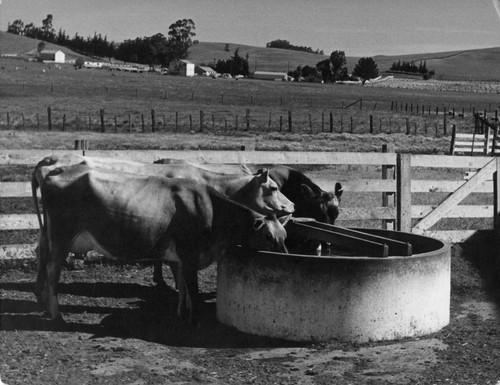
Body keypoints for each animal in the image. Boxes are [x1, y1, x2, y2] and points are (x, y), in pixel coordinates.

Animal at [35, 164, 290, 326]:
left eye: (284, 235)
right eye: (268, 237)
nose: (284, 255)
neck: (211, 207)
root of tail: (53, 171)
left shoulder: (180, 258)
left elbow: (183, 289)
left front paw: (180, 313)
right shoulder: (190, 255)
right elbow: (193, 291)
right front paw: (194, 320)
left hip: (50, 236)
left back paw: (46, 307)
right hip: (61, 238)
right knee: (52, 271)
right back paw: (57, 315)